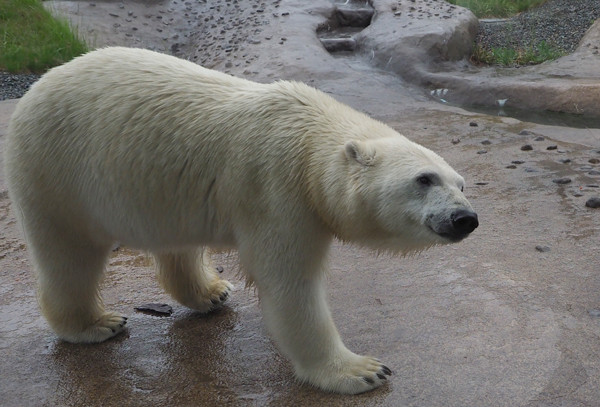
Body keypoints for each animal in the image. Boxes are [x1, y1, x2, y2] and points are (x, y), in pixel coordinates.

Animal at [4, 47, 478, 396]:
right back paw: (95, 324)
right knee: (69, 254)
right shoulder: (277, 189)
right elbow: (290, 283)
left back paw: (211, 292)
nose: (465, 218)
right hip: (56, 172)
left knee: (176, 243)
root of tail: (33, 91)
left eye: (461, 183)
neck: (310, 139)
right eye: (424, 179)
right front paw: (361, 370)